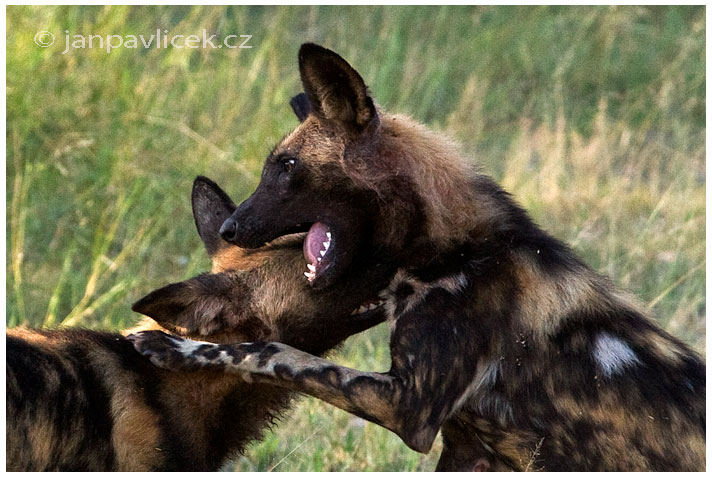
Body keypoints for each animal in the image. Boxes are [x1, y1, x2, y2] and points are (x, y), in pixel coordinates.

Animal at [129, 44, 708, 470]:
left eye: (286, 166)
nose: (230, 227)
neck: (460, 251)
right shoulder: (467, 446)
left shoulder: (409, 406)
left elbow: (273, 352)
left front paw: (176, 348)